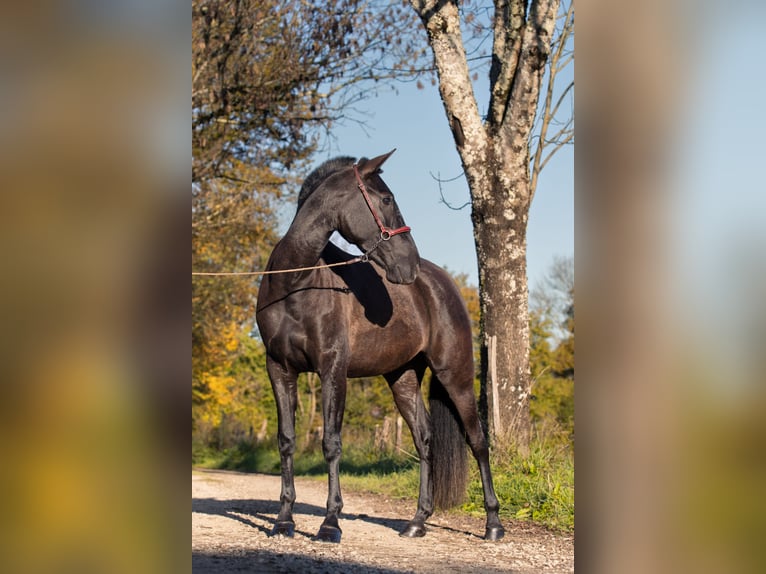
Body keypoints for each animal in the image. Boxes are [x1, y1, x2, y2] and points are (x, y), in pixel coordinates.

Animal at [256, 150, 504, 544]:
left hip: (456, 375)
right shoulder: (279, 369)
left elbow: (331, 443)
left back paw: (493, 524)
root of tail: (441, 283)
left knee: (478, 440)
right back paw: (417, 522)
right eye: (387, 199)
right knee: (424, 439)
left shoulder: (332, 369)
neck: (294, 283)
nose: (409, 263)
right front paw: (283, 521)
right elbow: (286, 440)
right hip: (403, 378)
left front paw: (330, 523)